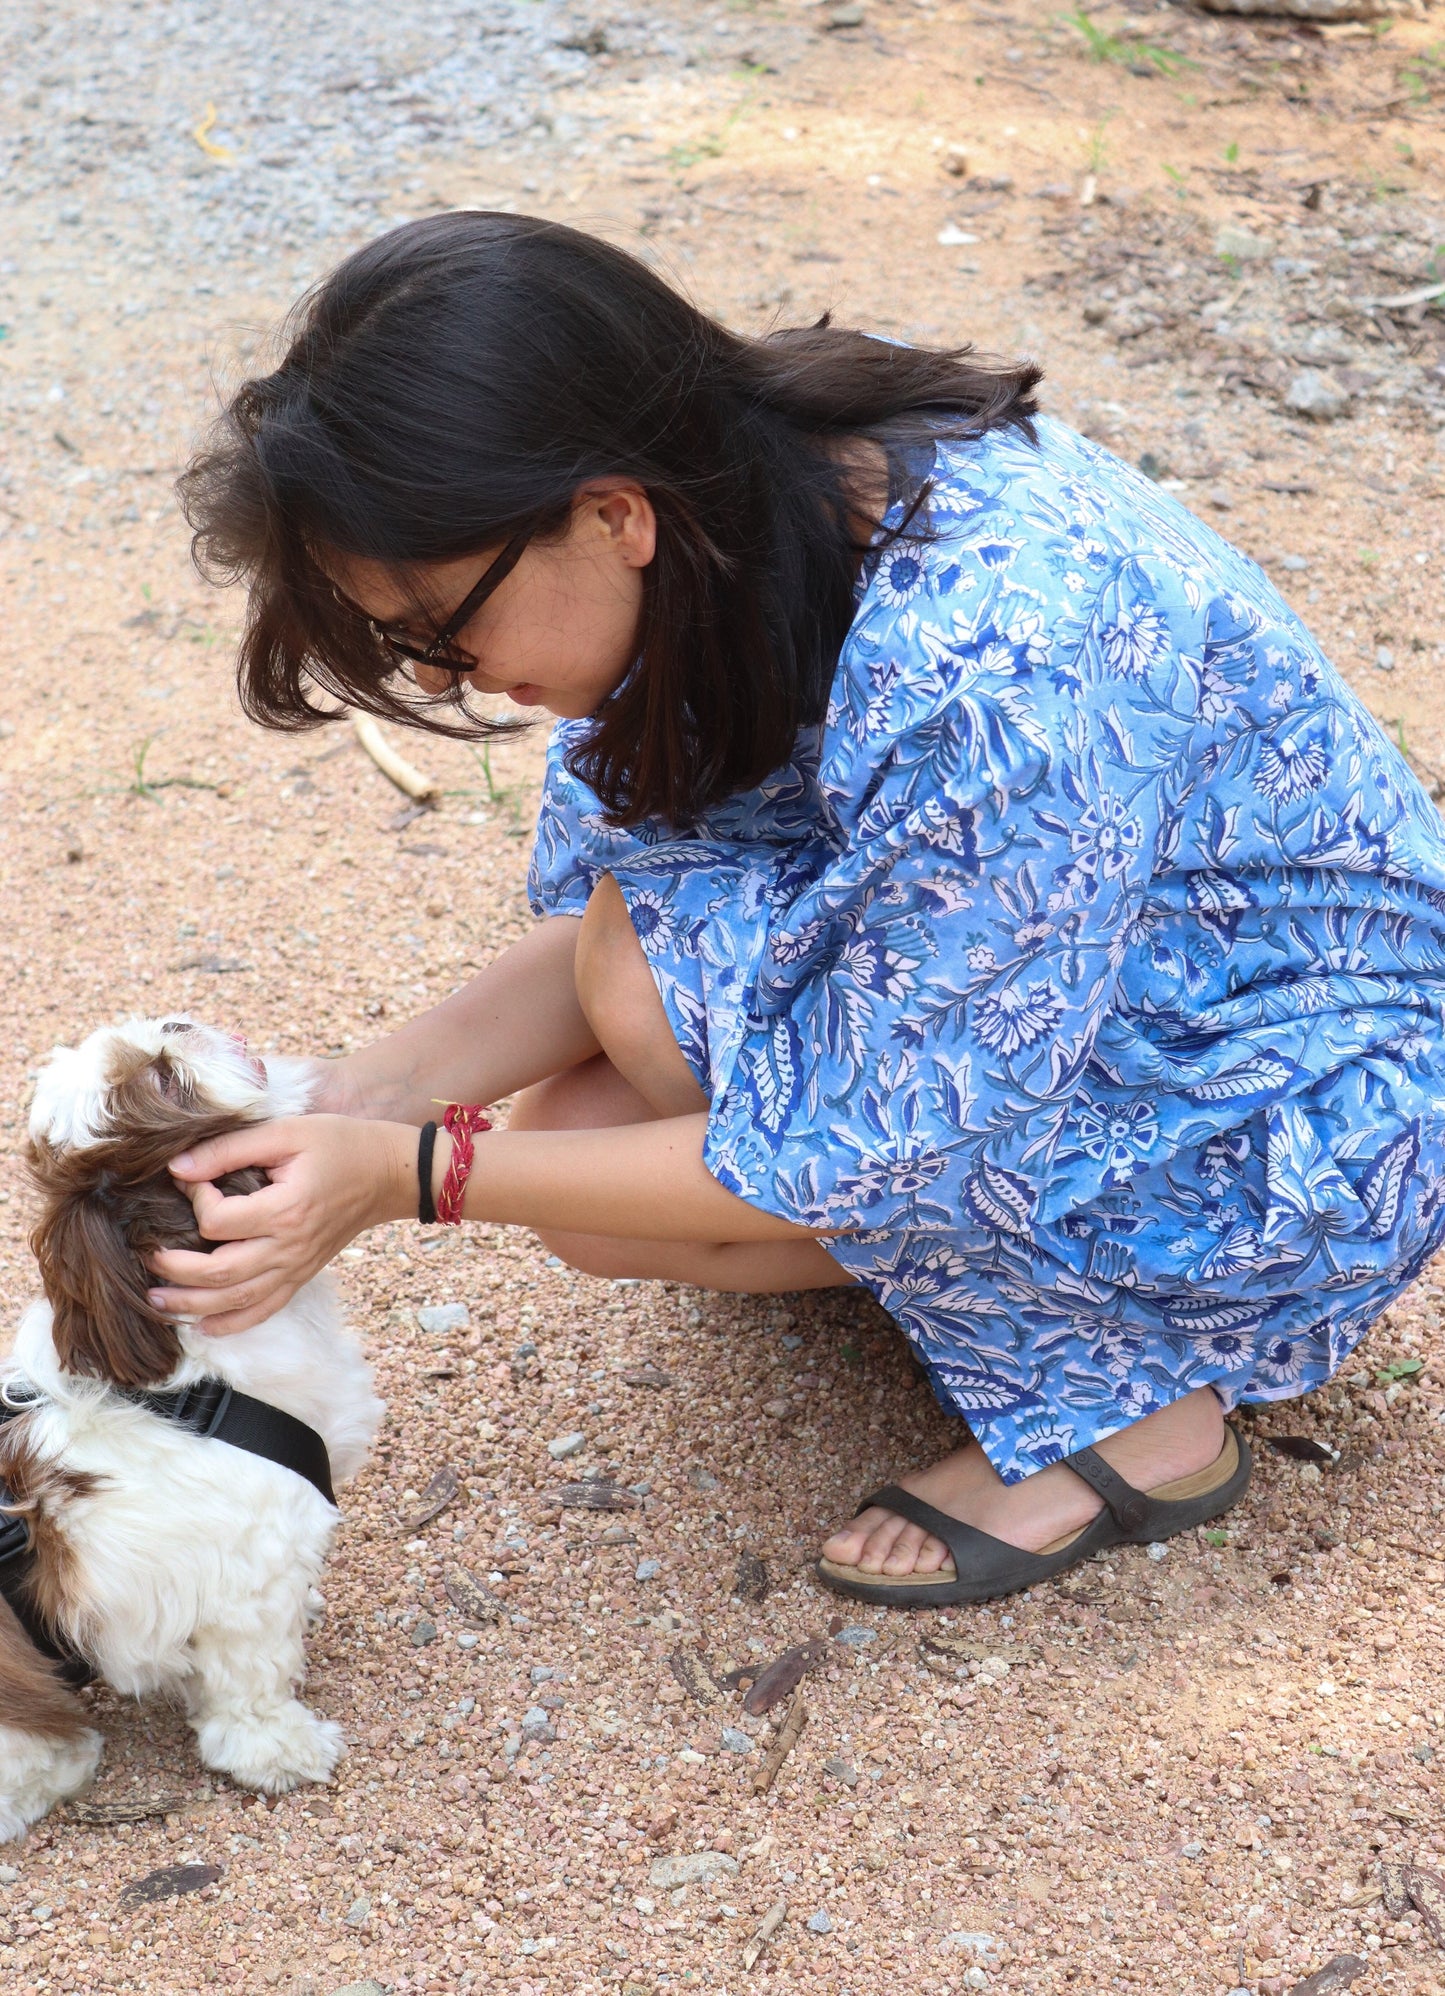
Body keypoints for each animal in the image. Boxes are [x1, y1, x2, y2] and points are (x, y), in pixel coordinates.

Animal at [0, 1021, 381, 1844]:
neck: (197, 1388)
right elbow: (252, 1678)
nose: (176, 1026)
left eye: (154, 1034)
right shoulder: (245, 1579)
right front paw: (280, 1749)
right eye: (168, 1080)